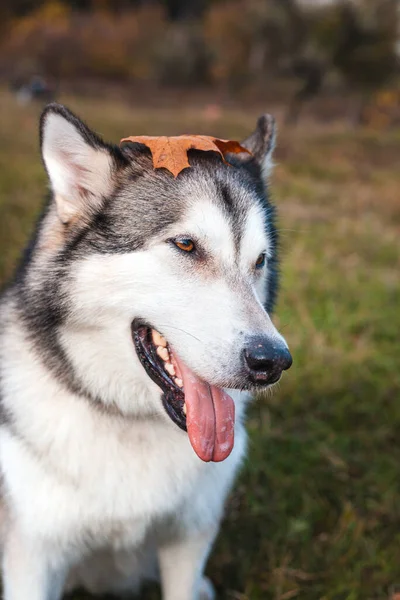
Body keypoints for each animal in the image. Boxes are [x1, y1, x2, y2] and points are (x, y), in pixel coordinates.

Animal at [0, 105, 294, 596]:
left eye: (260, 261)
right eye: (186, 245)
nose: (272, 362)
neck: (128, 418)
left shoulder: (189, 538)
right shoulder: (34, 558)